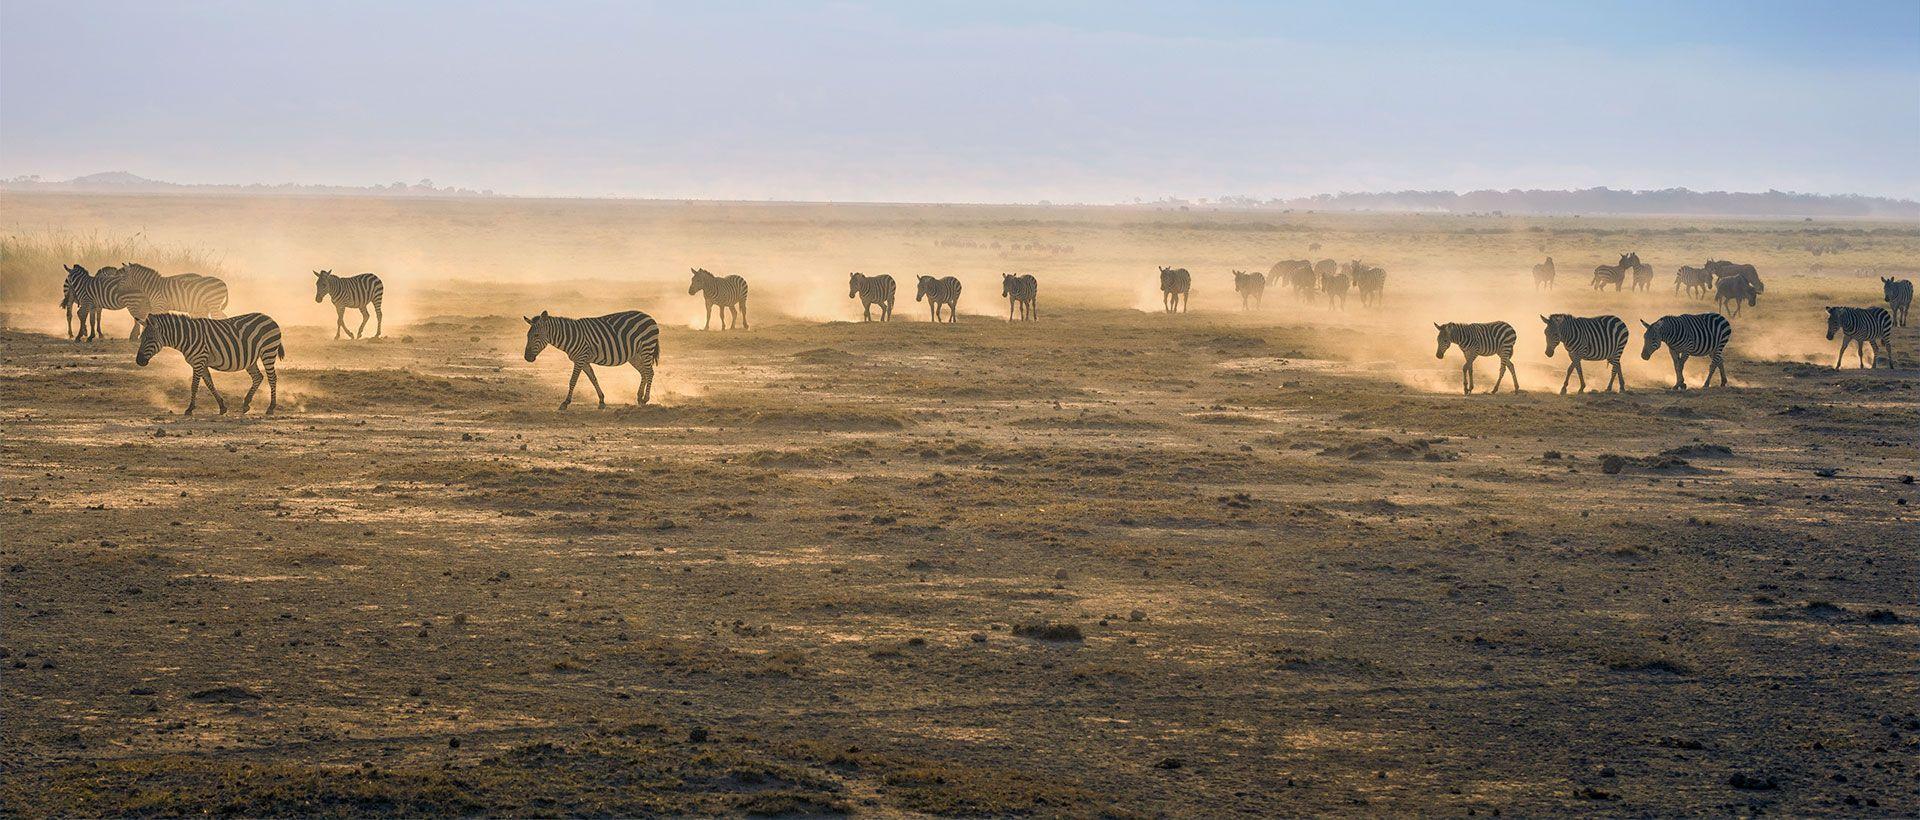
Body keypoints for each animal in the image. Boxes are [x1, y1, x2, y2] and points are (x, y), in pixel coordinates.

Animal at [135, 313, 284, 415]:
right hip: (251, 359)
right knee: (258, 377)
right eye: (141, 338)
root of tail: (270, 318)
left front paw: (190, 408)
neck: (187, 337)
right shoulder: (202, 363)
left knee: (272, 378)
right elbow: (210, 384)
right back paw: (246, 403)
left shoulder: (199, 361)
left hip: (268, 351)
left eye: (149, 338)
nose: (139, 361)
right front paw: (222, 407)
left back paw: (271, 407)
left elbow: (194, 386)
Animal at [523, 310, 661, 409]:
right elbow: (593, 379)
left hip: (646, 348)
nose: (527, 357)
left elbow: (573, 381)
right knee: (643, 372)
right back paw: (639, 397)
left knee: (650, 372)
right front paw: (602, 401)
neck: (570, 336)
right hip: (634, 355)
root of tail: (649, 317)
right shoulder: (584, 361)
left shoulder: (580, 359)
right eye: (527, 335)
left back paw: (645, 399)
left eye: (536, 335)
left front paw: (565, 402)